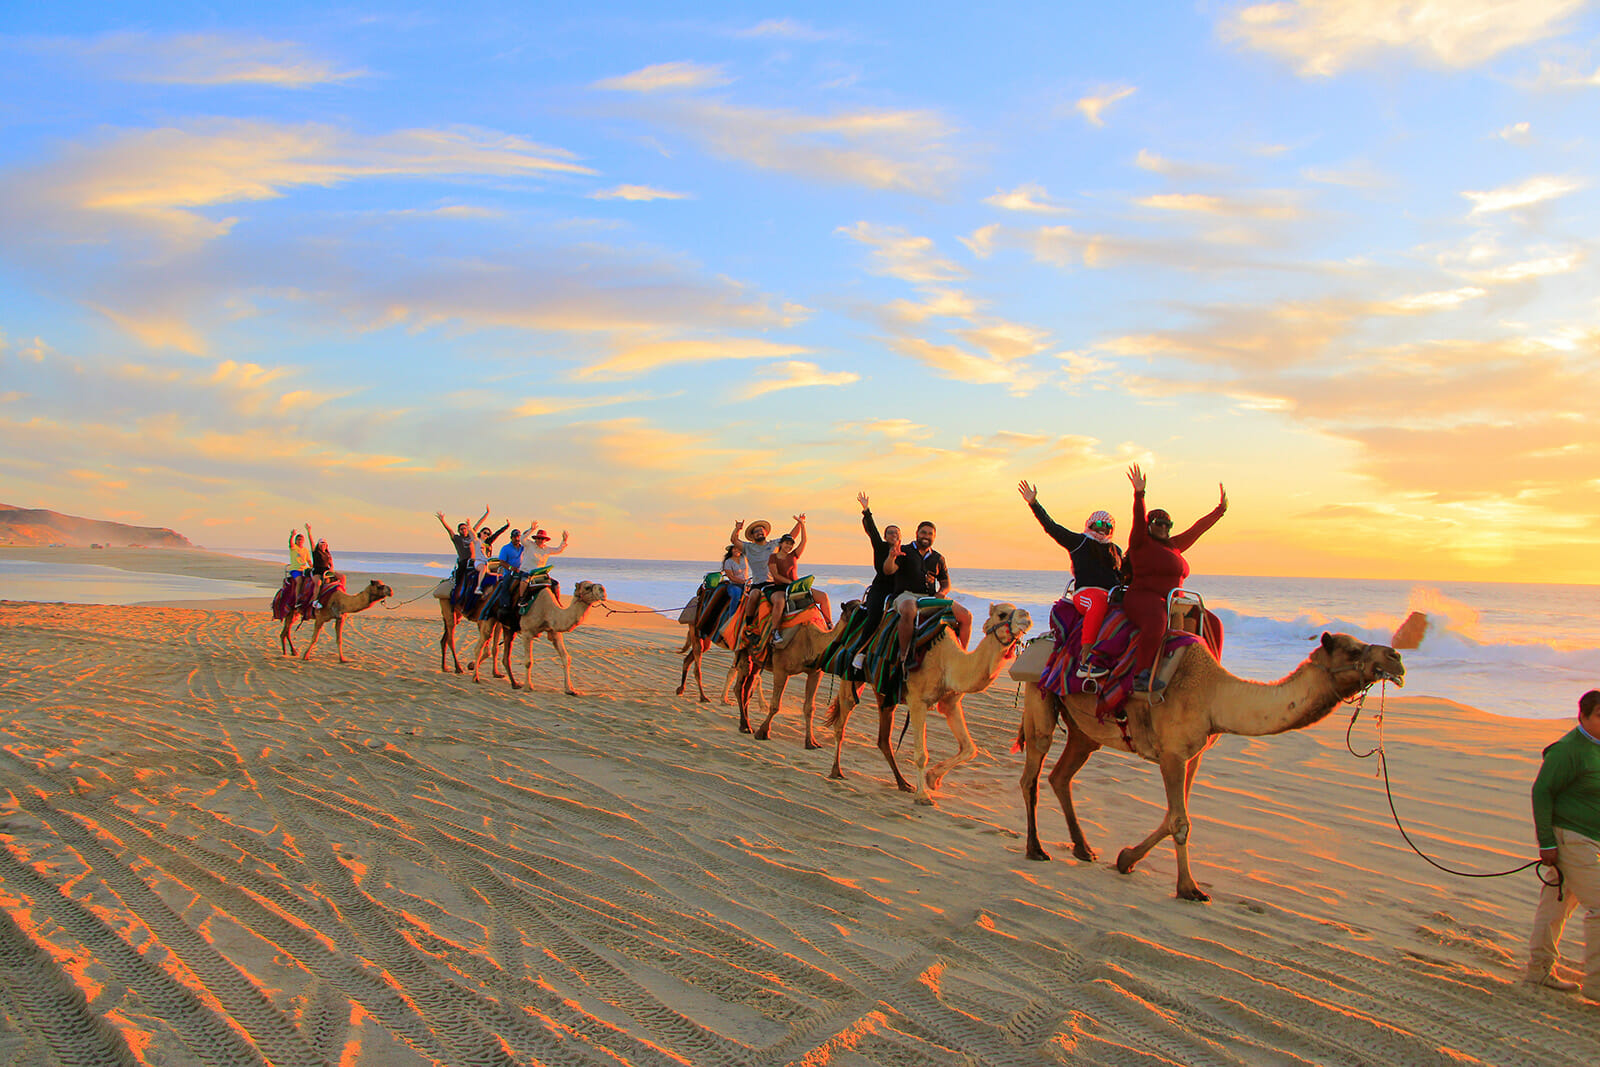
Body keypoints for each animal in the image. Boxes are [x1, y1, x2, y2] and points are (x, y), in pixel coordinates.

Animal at [471, 581, 606, 695]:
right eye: (587, 587)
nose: (603, 590)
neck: (548, 611)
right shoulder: (527, 632)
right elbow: (528, 661)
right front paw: (528, 687)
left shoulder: (554, 632)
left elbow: (565, 658)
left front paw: (569, 689)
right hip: (489, 616)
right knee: (481, 642)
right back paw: (475, 677)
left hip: (506, 625)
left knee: (504, 650)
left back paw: (512, 683)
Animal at [731, 614, 850, 747]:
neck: (811, 643)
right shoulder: (781, 669)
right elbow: (775, 705)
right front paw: (762, 732)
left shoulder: (815, 673)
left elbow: (809, 708)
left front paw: (811, 742)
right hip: (743, 648)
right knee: (739, 685)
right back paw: (744, 725)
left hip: (757, 659)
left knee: (747, 688)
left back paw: (747, 724)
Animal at [825, 603, 1031, 805]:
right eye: (1002, 614)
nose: (1027, 617)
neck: (946, 660)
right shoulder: (917, 701)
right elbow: (921, 754)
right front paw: (923, 795)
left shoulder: (950, 703)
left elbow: (969, 748)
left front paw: (933, 779)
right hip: (850, 676)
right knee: (842, 720)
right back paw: (836, 771)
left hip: (884, 690)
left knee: (883, 738)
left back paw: (903, 783)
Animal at [1016, 631, 1405, 901]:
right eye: (1352, 650)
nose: (1397, 656)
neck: (1213, 696)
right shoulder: (1172, 753)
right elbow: (1180, 822)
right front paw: (1189, 888)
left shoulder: (1193, 756)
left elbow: (1172, 816)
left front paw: (1126, 858)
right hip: (1041, 697)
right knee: (1032, 772)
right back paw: (1035, 849)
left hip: (1084, 730)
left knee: (1061, 775)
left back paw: (1083, 849)